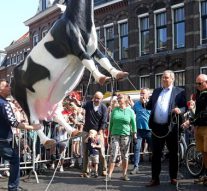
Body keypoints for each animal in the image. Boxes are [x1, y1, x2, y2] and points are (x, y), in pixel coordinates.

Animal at [10, 0, 128, 148]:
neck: (77, 21)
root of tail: (12, 79)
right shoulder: (76, 46)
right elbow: (87, 60)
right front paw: (101, 77)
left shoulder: (94, 48)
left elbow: (104, 60)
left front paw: (118, 73)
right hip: (24, 98)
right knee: (34, 121)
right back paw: (47, 140)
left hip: (52, 99)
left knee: (56, 115)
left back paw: (74, 131)